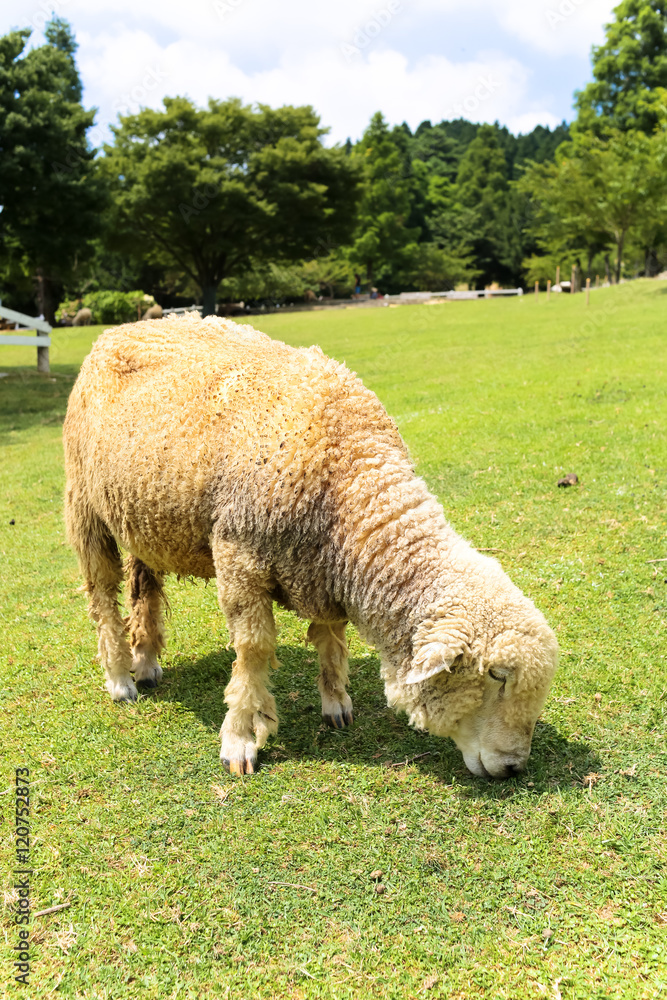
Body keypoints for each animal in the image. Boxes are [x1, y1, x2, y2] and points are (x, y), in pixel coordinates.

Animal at [64, 316, 560, 776]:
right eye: (496, 675)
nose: (515, 767)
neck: (349, 475)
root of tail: (127, 327)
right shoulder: (240, 558)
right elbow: (253, 651)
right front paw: (240, 738)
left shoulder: (321, 569)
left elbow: (330, 636)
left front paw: (336, 702)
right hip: (85, 505)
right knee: (103, 597)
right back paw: (120, 679)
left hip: (140, 513)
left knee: (143, 587)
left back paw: (146, 662)